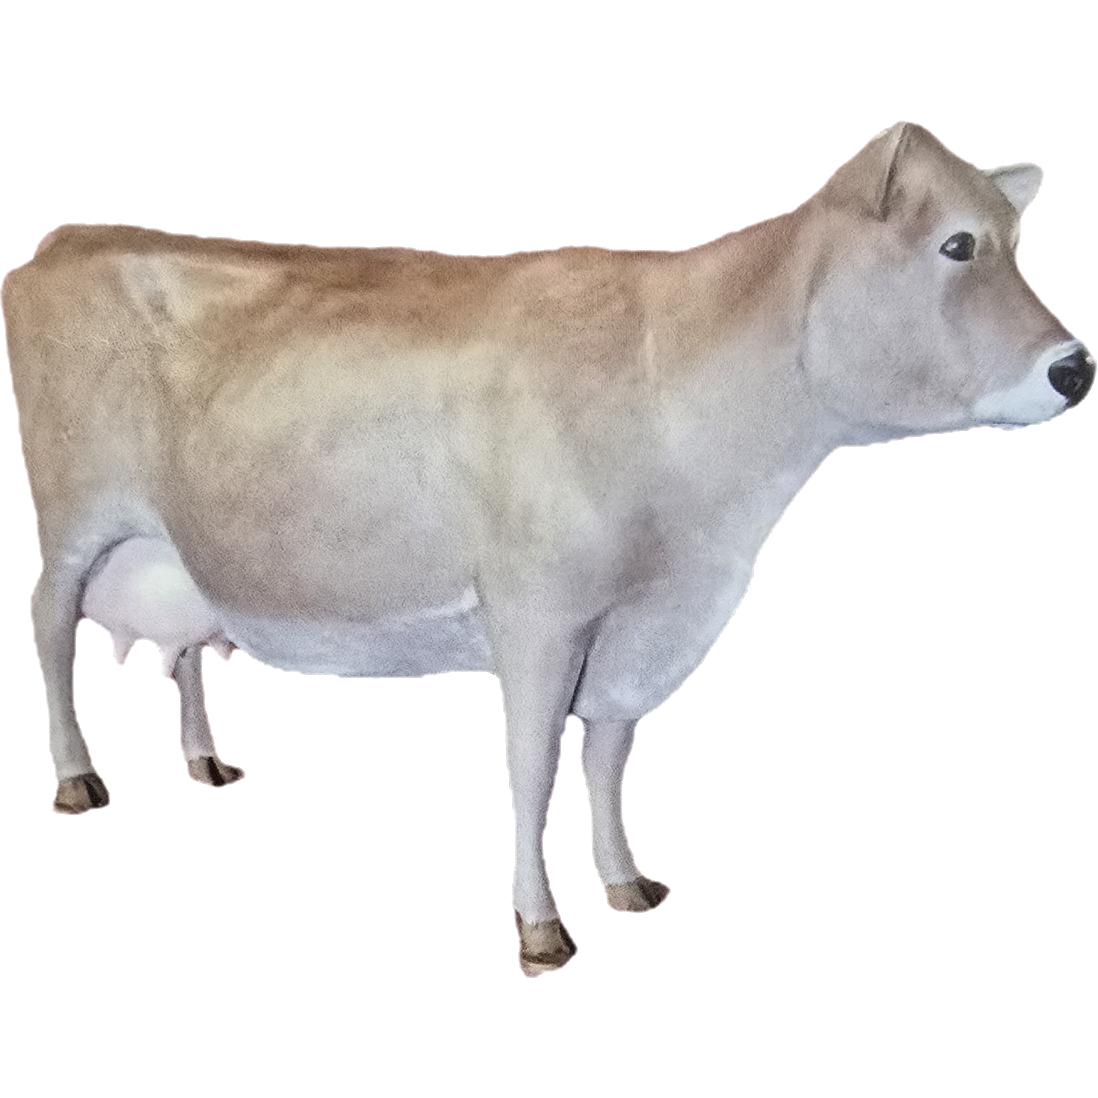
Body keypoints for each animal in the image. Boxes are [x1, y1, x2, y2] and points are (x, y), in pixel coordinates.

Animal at [2, 121, 1092, 977]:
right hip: (74, 517)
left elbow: (608, 757)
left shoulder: (641, 627)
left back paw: (205, 760)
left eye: (1015, 240)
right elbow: (532, 768)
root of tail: (67, 238)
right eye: (957, 244)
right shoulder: (537, 613)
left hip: (178, 548)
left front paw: (627, 882)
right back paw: (76, 780)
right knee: (47, 620)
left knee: (185, 644)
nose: (1076, 367)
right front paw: (540, 929)